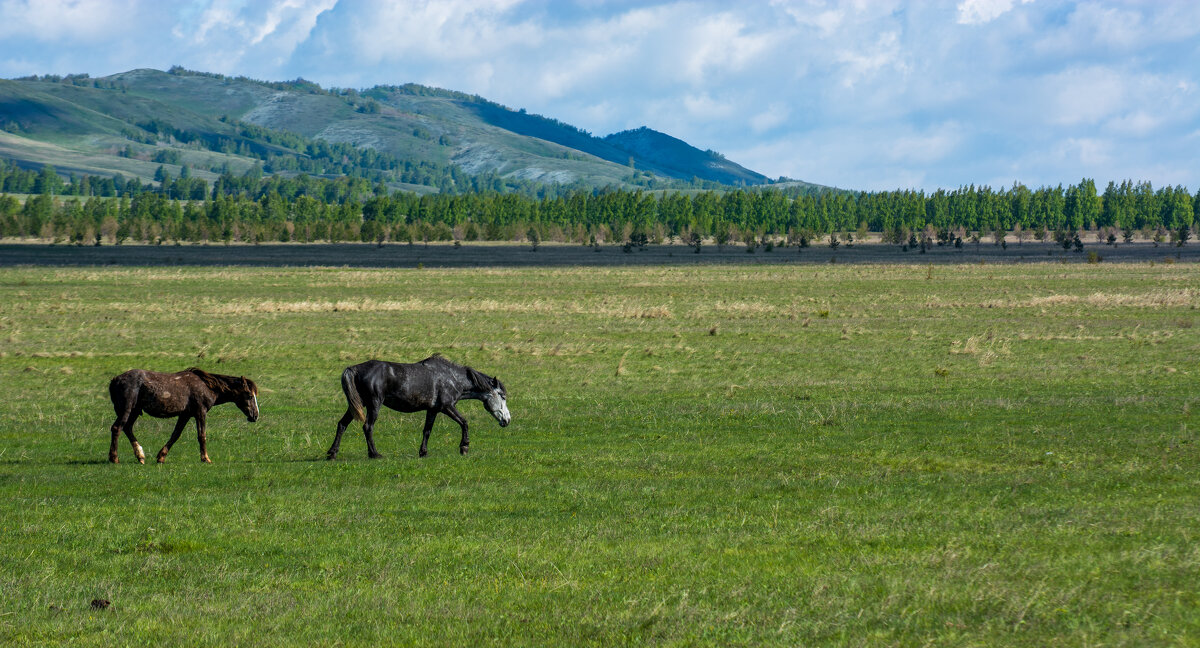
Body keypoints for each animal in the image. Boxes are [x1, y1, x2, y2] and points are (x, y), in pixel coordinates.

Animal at [107, 367, 258, 463]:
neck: (207, 386)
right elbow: (202, 436)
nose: (255, 415)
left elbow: (175, 435)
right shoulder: (200, 412)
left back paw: (140, 456)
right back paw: (114, 458)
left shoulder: (185, 415)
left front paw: (161, 456)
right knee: (117, 428)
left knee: (127, 428)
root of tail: (115, 380)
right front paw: (206, 458)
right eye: (250, 396)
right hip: (127, 410)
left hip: (135, 411)